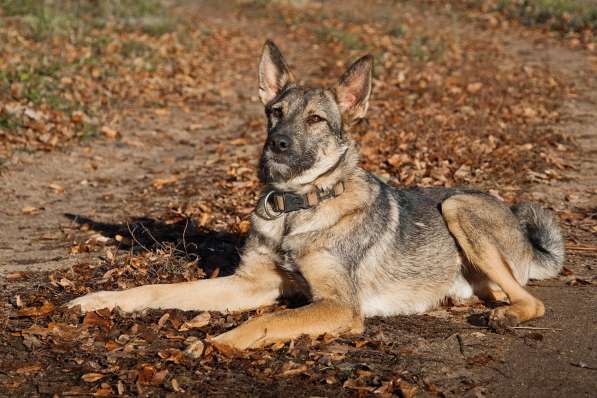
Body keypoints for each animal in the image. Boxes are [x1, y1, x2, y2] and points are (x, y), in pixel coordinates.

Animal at [70, 40, 564, 350]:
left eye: (315, 120)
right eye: (275, 112)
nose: (277, 145)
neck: (295, 207)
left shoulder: (339, 304)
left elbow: (269, 319)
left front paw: (220, 341)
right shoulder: (250, 283)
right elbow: (160, 288)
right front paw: (100, 300)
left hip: (457, 205)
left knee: (532, 300)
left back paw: (506, 314)